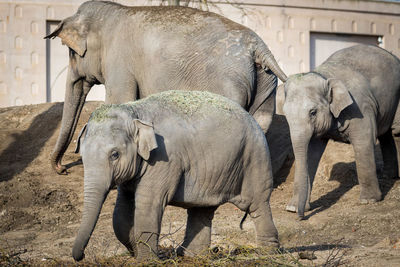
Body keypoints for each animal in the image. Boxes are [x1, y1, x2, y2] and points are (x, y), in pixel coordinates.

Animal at [45, 0, 286, 176]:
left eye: (72, 53)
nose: (62, 169)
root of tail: (259, 48)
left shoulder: (118, 63)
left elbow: (118, 100)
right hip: (266, 82)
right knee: (261, 122)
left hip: (229, 81)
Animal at [71, 90, 278, 262]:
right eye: (82, 155)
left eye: (114, 154)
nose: (81, 256)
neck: (135, 111)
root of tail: (252, 117)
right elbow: (121, 212)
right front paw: (139, 253)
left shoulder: (163, 159)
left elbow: (148, 205)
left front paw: (147, 260)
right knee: (202, 209)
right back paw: (191, 255)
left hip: (254, 157)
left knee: (258, 204)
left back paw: (267, 253)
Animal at [276, 44, 400, 220]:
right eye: (285, 114)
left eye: (313, 112)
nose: (300, 217)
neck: (325, 76)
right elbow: (311, 153)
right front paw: (292, 208)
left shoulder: (359, 106)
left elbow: (364, 141)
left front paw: (368, 201)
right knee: (386, 134)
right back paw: (389, 176)